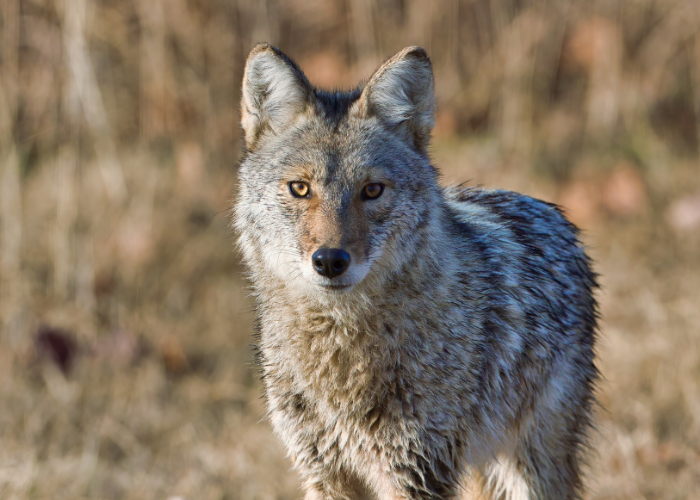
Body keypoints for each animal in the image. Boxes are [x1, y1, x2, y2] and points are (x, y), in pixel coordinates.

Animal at [233, 43, 598, 500]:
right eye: (300, 188)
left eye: (372, 190)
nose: (330, 261)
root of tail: (554, 213)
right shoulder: (324, 472)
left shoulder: (418, 470)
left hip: (531, 465)